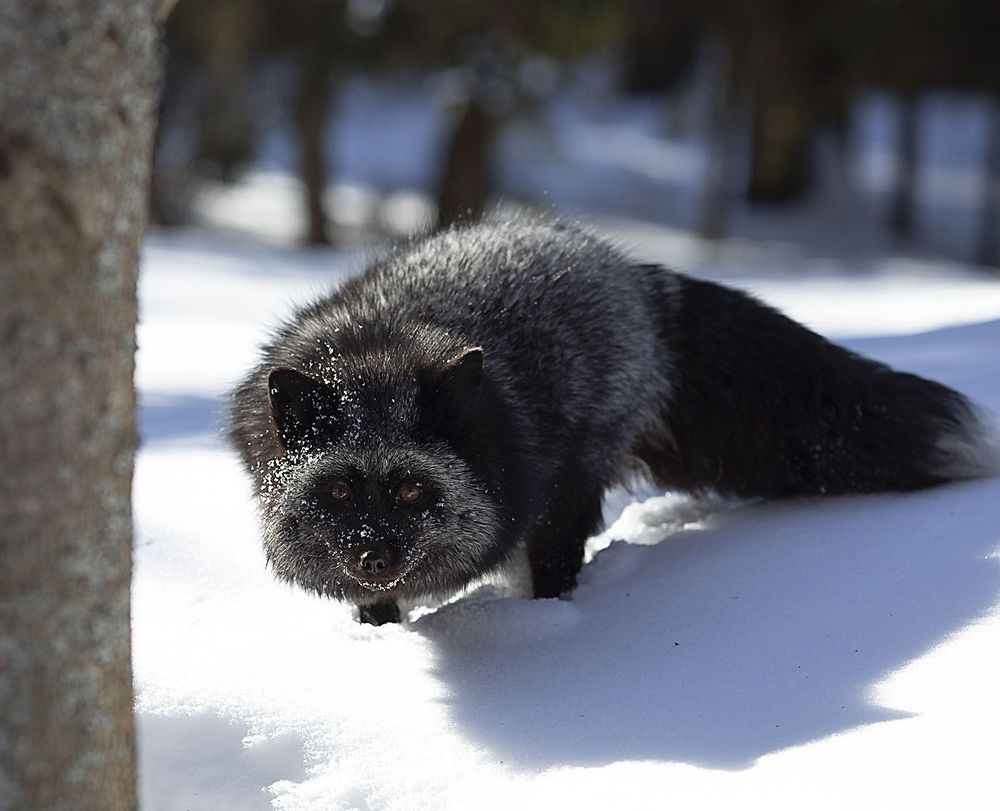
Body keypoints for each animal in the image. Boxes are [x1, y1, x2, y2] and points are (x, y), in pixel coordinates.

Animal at [229, 217, 999, 625]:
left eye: (414, 490)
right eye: (336, 491)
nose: (374, 558)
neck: (375, 345)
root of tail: (636, 276)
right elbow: (377, 611)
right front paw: (377, 640)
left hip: (575, 476)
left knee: (561, 550)